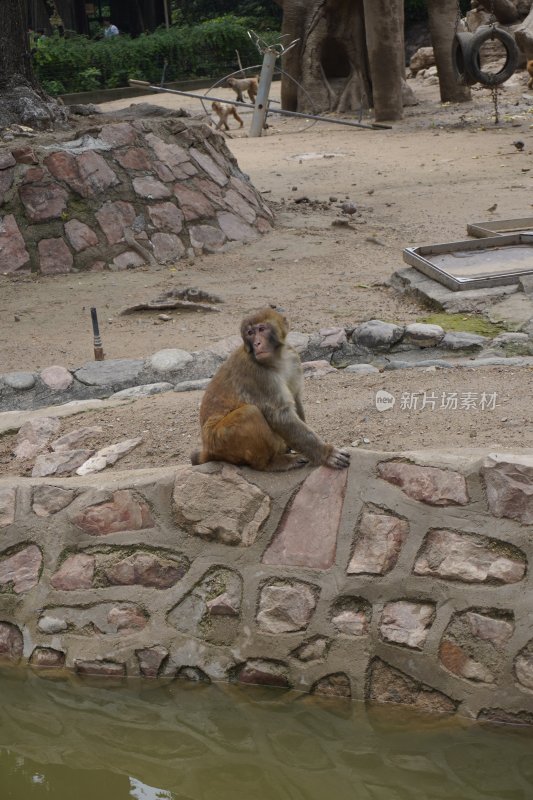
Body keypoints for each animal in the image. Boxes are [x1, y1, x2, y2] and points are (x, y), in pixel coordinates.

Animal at [190, 304, 350, 468]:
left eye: (261, 329)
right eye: (250, 333)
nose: (256, 343)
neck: (277, 359)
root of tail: (206, 449)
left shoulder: (293, 358)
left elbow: (296, 398)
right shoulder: (257, 374)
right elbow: (281, 416)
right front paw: (326, 453)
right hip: (220, 441)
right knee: (250, 412)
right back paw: (271, 463)